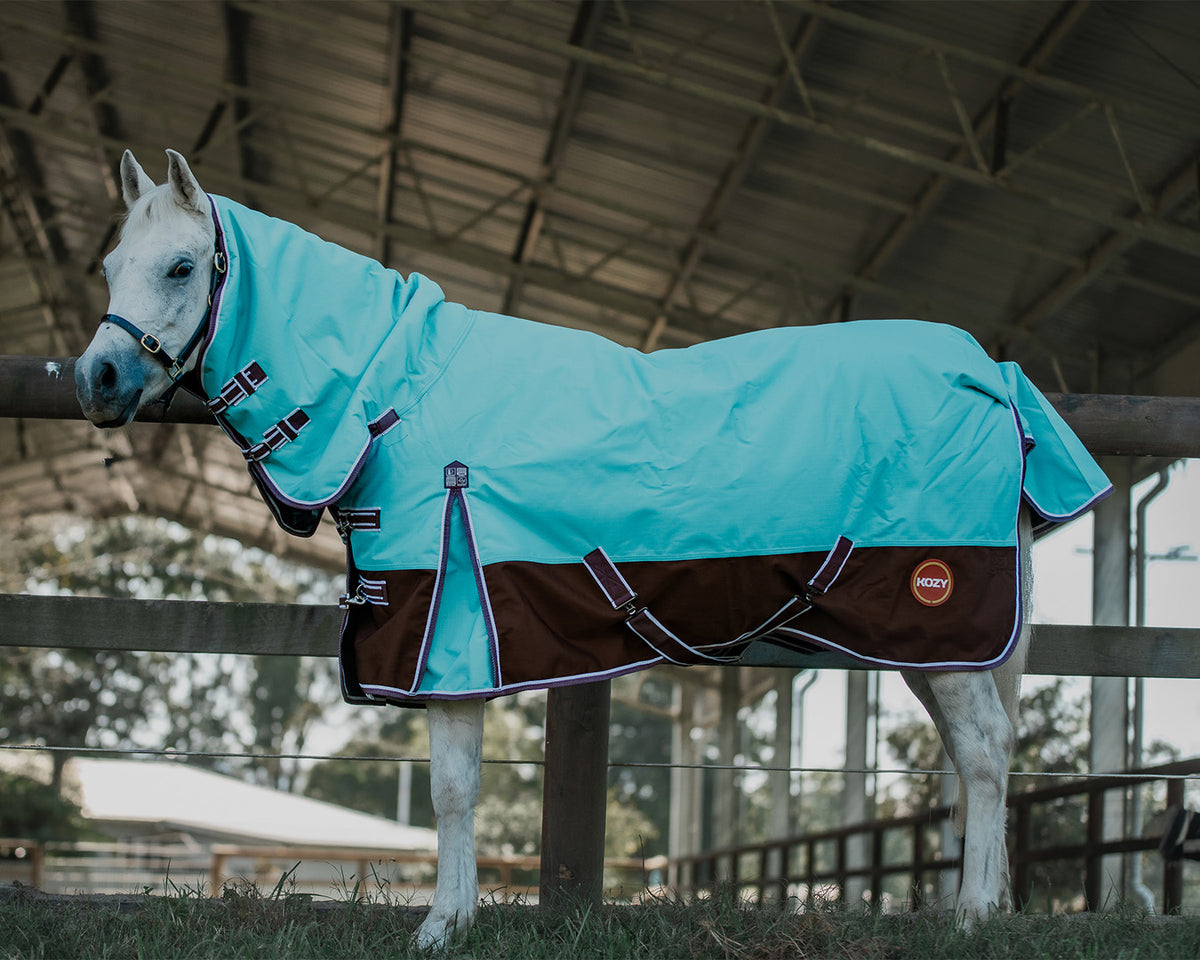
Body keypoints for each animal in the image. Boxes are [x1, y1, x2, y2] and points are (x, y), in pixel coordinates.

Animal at [76, 149, 1109, 946]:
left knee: (984, 755)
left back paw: (971, 919)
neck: (391, 394)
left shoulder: (447, 633)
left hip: (943, 615)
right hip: (929, 644)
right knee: (974, 756)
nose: (96, 379)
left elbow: (451, 791)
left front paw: (438, 928)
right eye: (112, 264)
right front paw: (456, 920)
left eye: (181, 267)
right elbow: (460, 792)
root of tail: (990, 370)